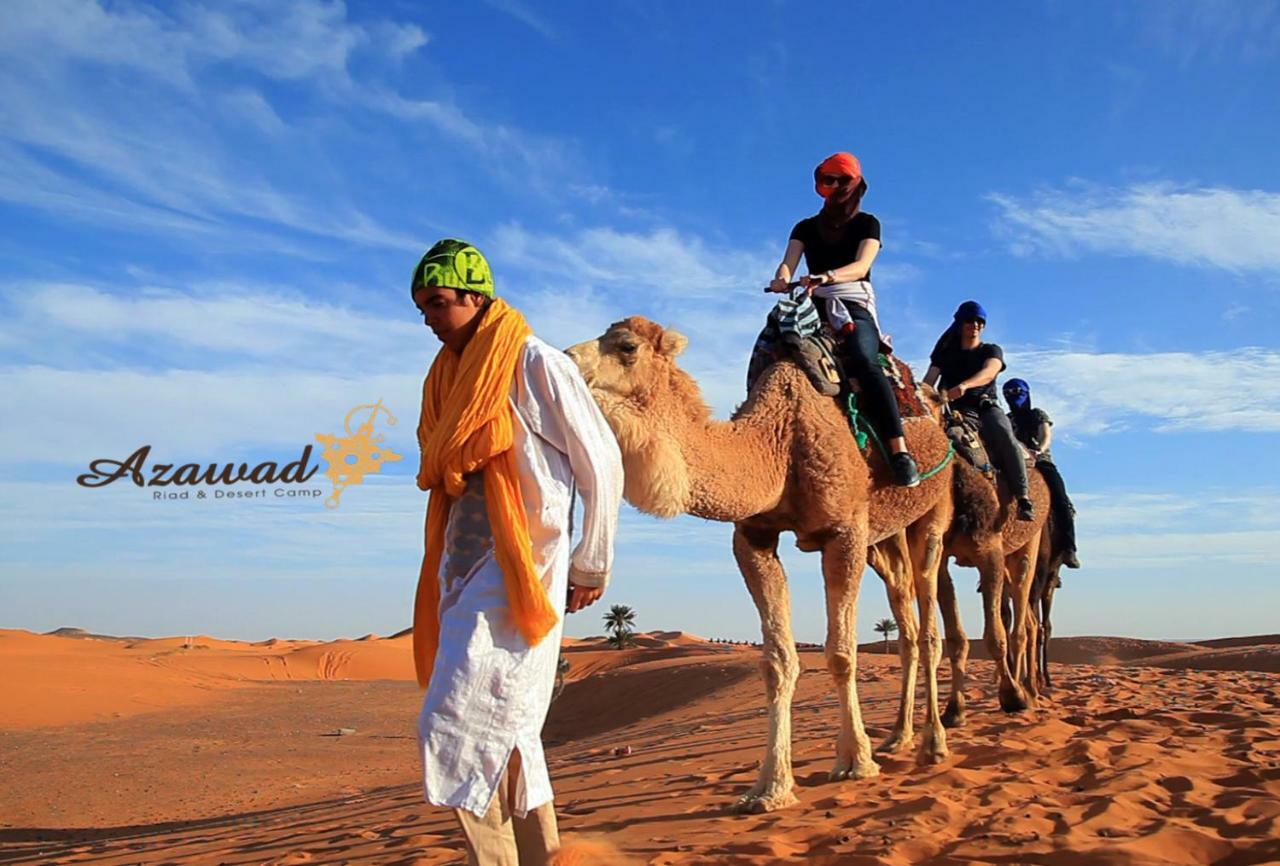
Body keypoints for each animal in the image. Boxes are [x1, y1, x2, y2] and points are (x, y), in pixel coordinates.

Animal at [565, 317, 957, 808]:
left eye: (626, 347)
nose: (566, 358)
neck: (777, 443)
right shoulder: (752, 539)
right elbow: (776, 662)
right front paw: (769, 787)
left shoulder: (844, 532)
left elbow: (841, 653)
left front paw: (854, 762)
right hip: (885, 537)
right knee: (903, 610)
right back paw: (898, 737)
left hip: (933, 512)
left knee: (927, 618)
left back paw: (934, 743)